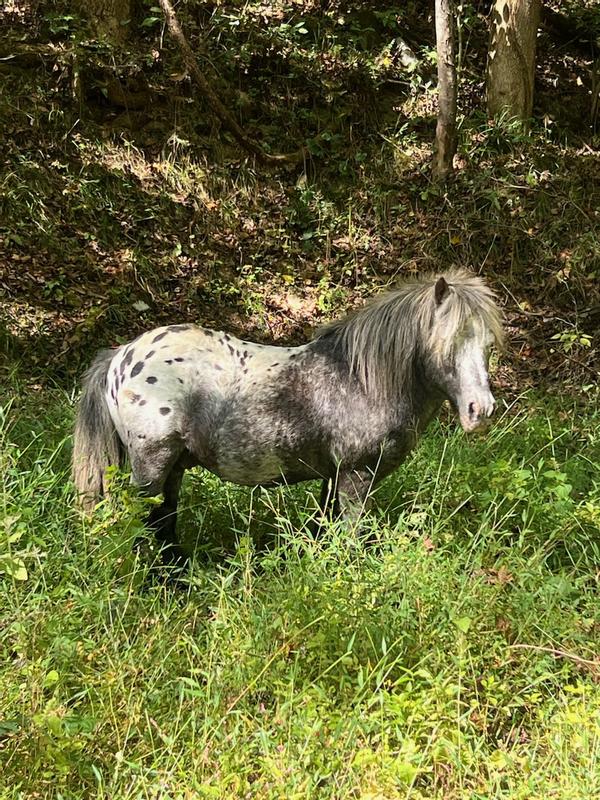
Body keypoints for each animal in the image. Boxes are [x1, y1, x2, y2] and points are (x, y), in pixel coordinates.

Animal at [72, 269, 503, 565]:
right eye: (446, 342)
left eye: (487, 344)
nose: (480, 410)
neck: (360, 380)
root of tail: (121, 355)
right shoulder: (355, 477)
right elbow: (350, 533)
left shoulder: (334, 477)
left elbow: (325, 527)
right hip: (151, 469)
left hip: (172, 468)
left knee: (164, 522)